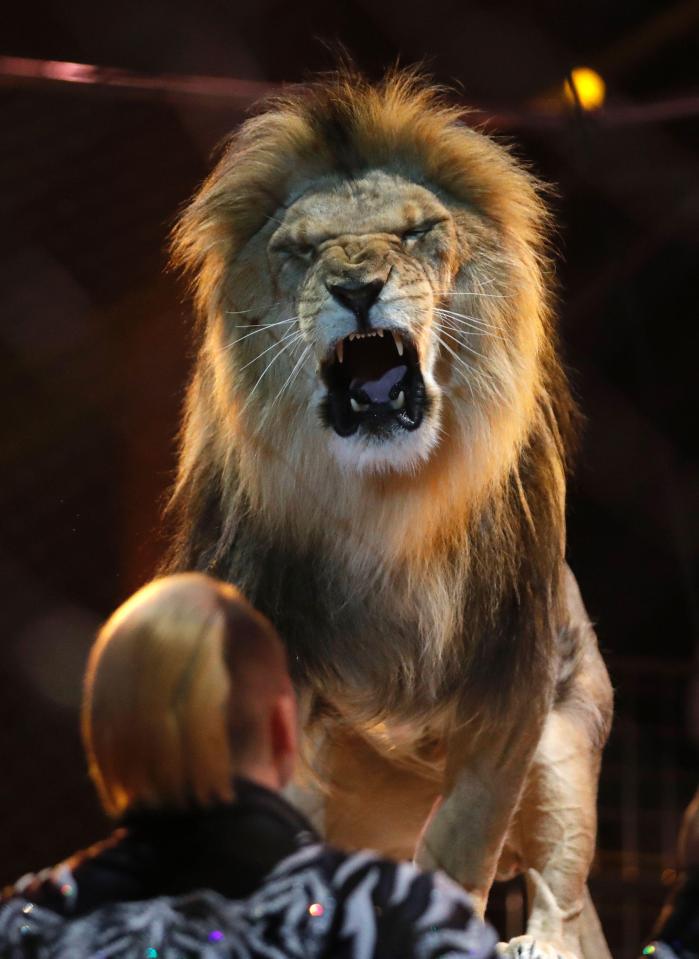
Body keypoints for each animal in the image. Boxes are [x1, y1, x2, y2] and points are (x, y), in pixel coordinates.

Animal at [164, 71, 612, 956]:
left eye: (416, 231)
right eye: (300, 249)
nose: (356, 287)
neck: (384, 504)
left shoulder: (511, 684)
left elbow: (462, 844)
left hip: (568, 737)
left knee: (562, 886)